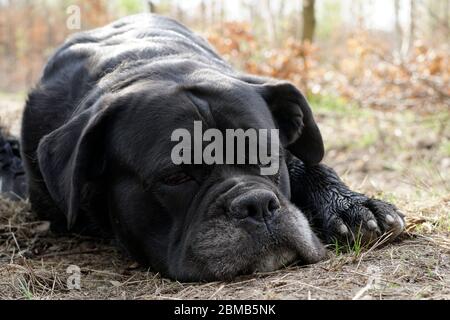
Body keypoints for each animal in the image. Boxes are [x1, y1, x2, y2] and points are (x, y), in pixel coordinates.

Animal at [18, 14, 404, 280]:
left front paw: (351, 205)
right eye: (175, 177)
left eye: (269, 158)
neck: (151, 63)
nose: (256, 204)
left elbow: (308, 164)